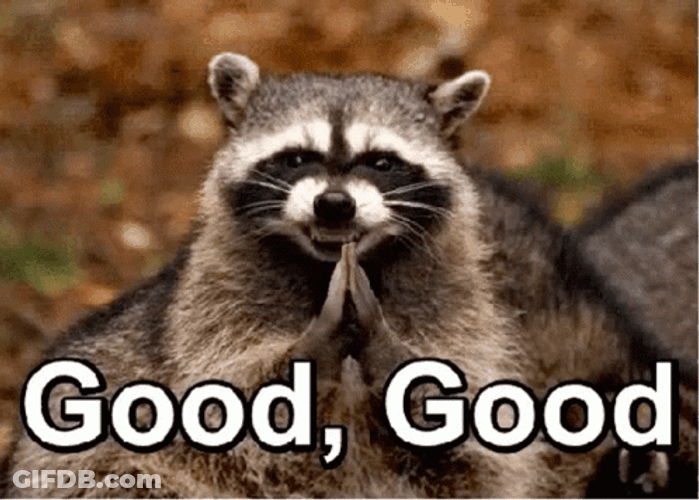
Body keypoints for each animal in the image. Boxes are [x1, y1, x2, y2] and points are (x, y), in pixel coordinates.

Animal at [4, 53, 682, 497]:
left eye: (380, 162)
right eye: (297, 157)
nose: (335, 205)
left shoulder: (463, 315)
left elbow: (482, 450)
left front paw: (393, 357)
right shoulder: (207, 313)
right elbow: (220, 414)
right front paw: (310, 350)